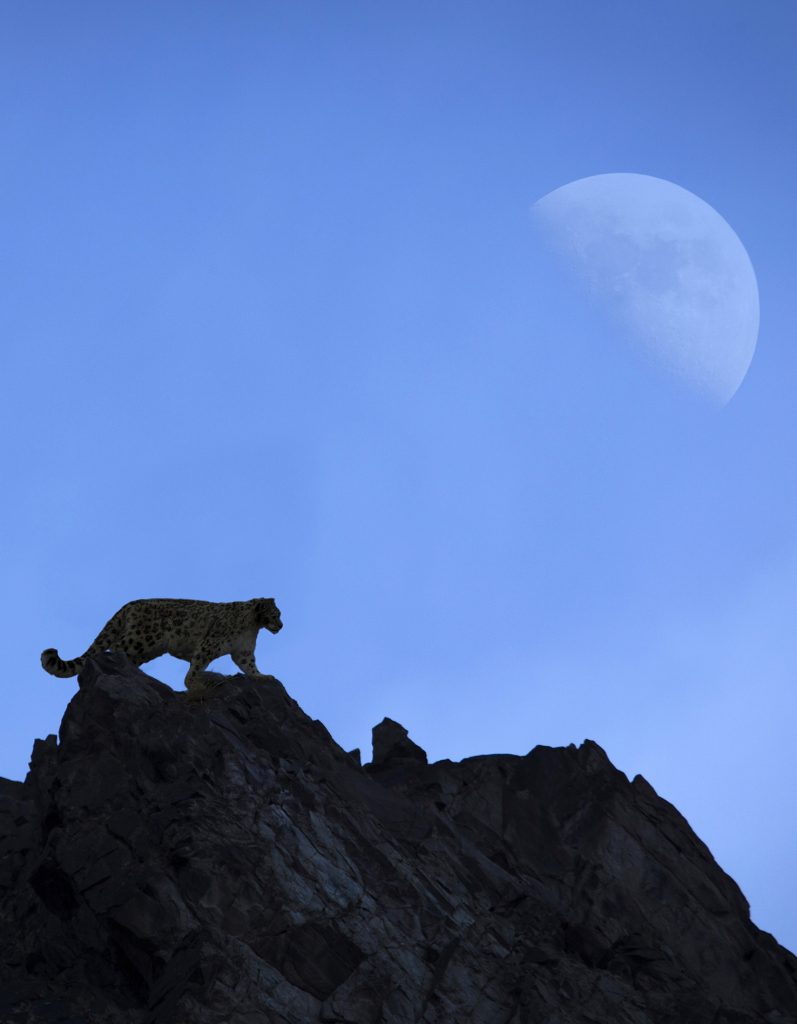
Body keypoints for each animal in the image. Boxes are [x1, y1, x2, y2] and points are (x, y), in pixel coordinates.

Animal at [41, 597, 283, 691]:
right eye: (276, 613)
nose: (281, 625)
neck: (252, 627)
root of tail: (128, 605)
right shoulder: (209, 645)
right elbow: (196, 666)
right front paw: (193, 684)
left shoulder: (243, 651)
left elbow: (249, 666)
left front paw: (263, 676)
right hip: (141, 639)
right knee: (114, 647)